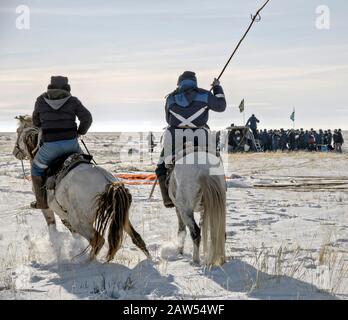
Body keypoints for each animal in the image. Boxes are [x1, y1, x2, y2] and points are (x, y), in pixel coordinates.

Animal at [12, 116, 150, 262]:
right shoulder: (64, 216)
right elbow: (73, 234)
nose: (15, 152)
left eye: (18, 131)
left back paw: (86, 262)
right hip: (121, 216)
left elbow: (52, 228)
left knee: (98, 241)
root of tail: (108, 183)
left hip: (81, 222)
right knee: (136, 237)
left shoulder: (47, 209)